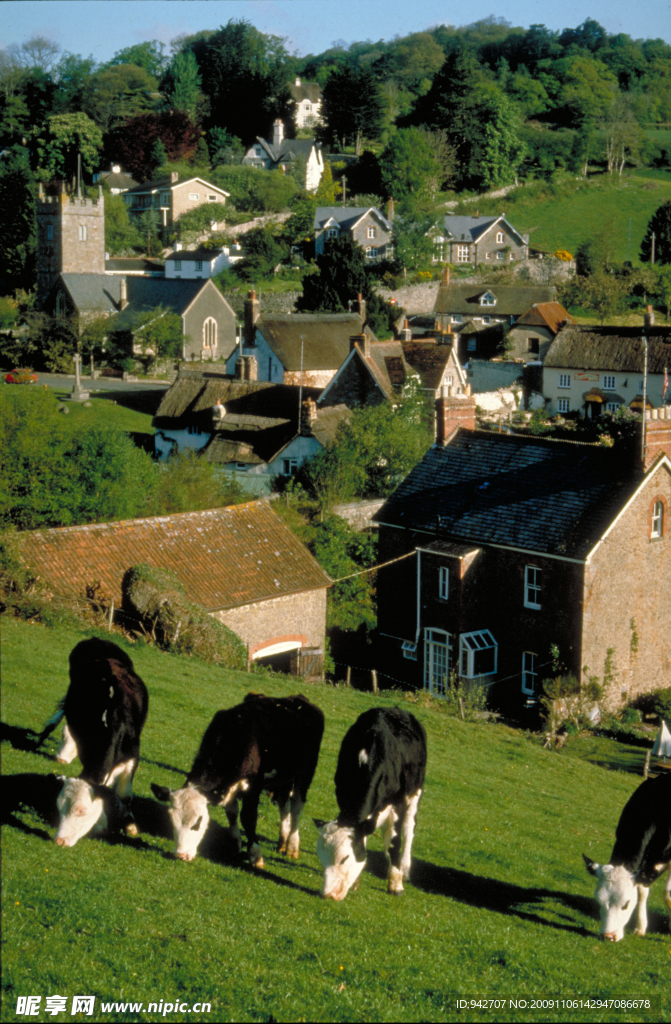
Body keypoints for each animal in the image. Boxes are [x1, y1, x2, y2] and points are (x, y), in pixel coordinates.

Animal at [37, 638, 149, 847]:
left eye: (82, 810)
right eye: (59, 807)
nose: (59, 840)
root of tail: (98, 639)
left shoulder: (132, 756)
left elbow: (125, 794)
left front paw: (130, 825)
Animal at [150, 692, 323, 868]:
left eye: (198, 821)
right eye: (172, 821)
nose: (181, 855)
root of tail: (299, 698)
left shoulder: (254, 786)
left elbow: (248, 818)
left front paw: (255, 855)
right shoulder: (228, 786)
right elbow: (232, 813)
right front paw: (235, 845)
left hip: (305, 772)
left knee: (297, 806)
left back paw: (292, 847)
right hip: (284, 776)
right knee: (284, 804)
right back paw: (282, 841)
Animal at [313, 708, 426, 901]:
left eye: (344, 858)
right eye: (321, 857)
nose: (328, 895)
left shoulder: (398, 805)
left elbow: (394, 843)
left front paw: (395, 884)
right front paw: (357, 881)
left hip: (415, 793)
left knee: (408, 829)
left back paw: (404, 869)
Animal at [581, 770, 671, 937]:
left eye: (626, 904)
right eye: (599, 901)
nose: (608, 936)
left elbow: (667, 893)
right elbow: (642, 891)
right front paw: (640, 927)